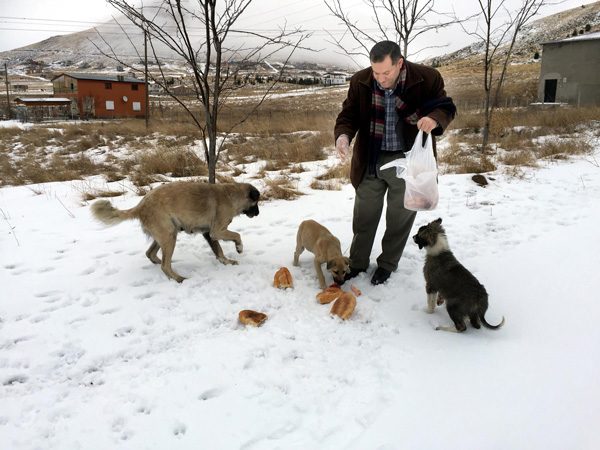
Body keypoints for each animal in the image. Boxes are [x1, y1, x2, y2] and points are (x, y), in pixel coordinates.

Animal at [90, 182, 258, 282]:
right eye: (256, 203)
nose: (258, 213)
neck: (231, 194)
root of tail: (141, 205)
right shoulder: (216, 231)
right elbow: (237, 235)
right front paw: (239, 247)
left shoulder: (208, 233)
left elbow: (219, 251)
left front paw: (227, 262)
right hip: (169, 236)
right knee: (165, 265)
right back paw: (178, 278)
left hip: (166, 235)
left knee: (151, 254)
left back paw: (163, 265)